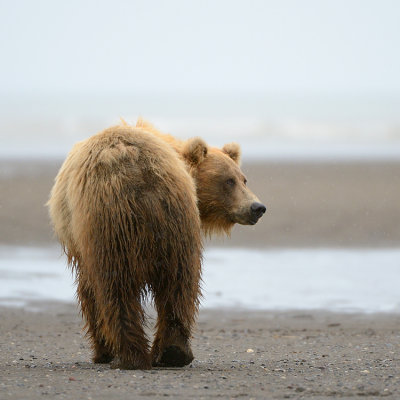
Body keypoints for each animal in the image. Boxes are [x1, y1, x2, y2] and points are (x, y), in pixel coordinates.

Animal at [47, 119, 266, 368]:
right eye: (229, 180)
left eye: (242, 179)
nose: (257, 207)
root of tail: (140, 173)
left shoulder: (83, 245)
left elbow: (89, 289)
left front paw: (102, 350)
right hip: (175, 223)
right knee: (179, 284)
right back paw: (172, 352)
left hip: (111, 225)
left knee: (117, 288)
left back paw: (131, 355)